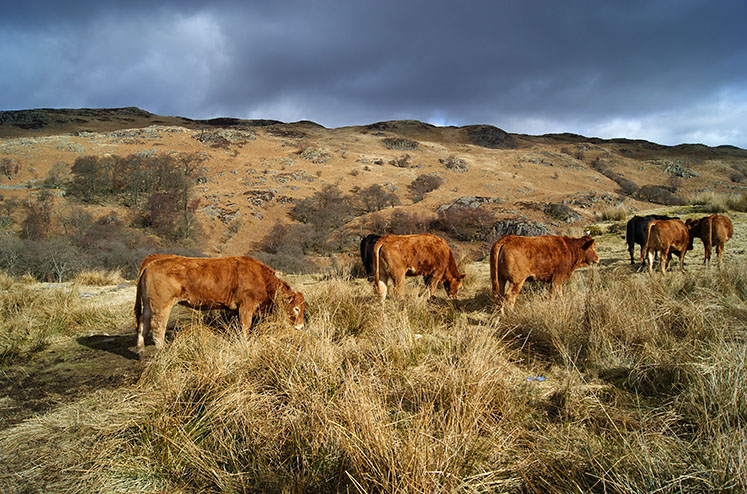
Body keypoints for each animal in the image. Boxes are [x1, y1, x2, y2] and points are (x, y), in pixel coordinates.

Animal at [136, 255, 306, 358]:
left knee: (143, 324)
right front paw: (245, 344)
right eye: (296, 308)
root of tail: (155, 260)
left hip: (149, 305)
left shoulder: (236, 310)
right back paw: (162, 350)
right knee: (158, 327)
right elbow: (245, 327)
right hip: (161, 305)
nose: (301, 327)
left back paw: (141, 350)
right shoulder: (246, 307)